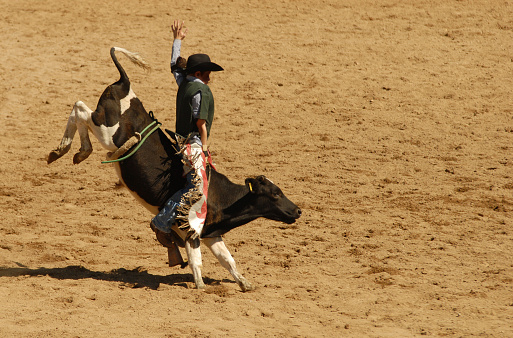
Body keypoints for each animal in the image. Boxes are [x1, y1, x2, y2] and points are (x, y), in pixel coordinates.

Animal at [48, 46, 300, 290]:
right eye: (276, 194)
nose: (297, 210)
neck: (221, 196)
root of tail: (124, 84)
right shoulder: (190, 228)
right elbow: (196, 261)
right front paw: (201, 286)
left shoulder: (211, 234)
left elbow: (228, 260)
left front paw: (245, 283)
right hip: (107, 129)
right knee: (80, 109)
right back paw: (70, 149)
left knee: (80, 110)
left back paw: (70, 151)